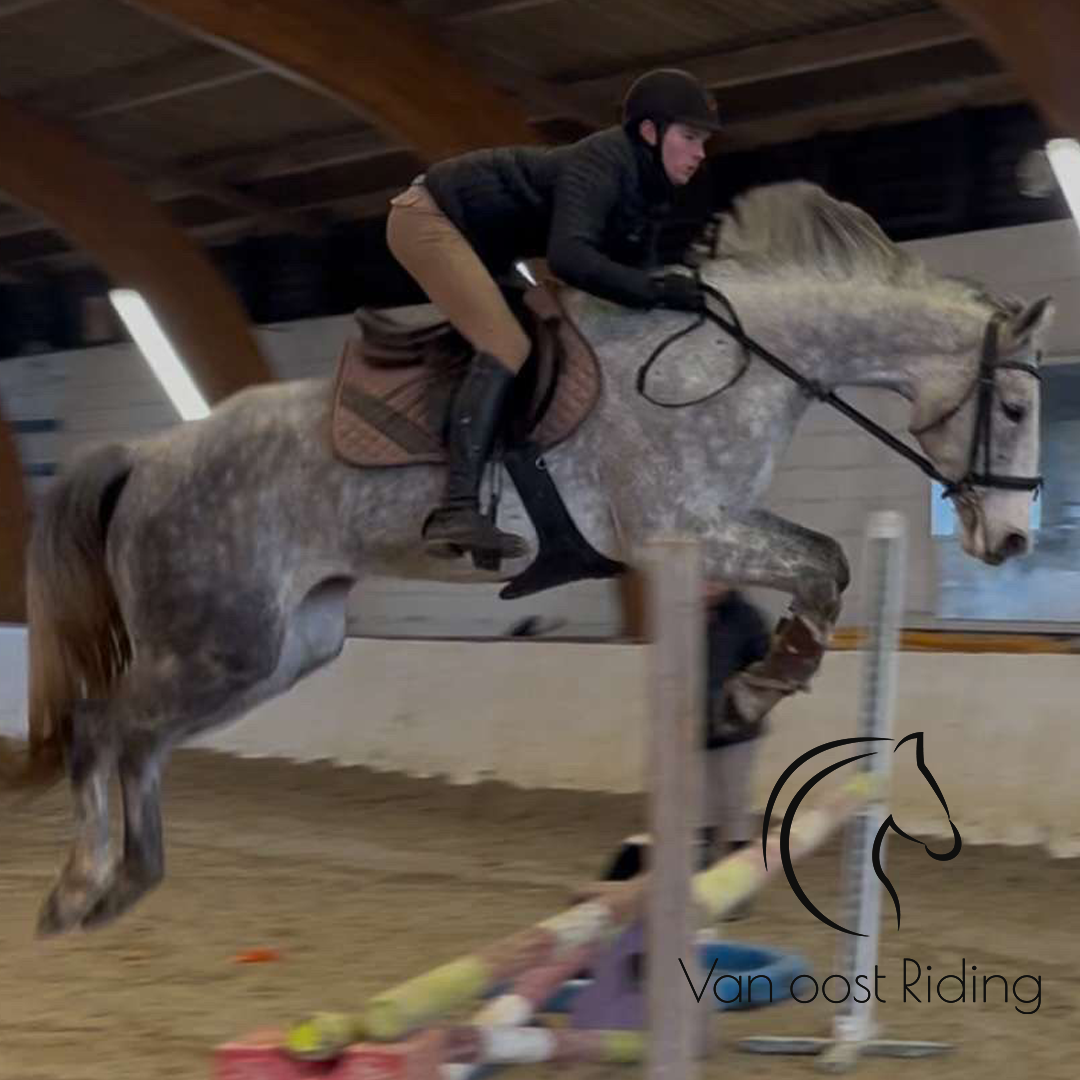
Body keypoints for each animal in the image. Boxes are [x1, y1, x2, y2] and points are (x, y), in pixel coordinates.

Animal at [4, 181, 1049, 933]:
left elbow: (823, 562)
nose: (1010, 541)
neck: (738, 360)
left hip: (281, 648)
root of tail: (150, 456)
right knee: (102, 727)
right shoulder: (686, 523)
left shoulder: (720, 523)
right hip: (219, 640)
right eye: (1013, 407)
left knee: (140, 739)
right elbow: (824, 561)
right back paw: (78, 889)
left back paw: (128, 884)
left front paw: (753, 689)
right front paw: (753, 692)